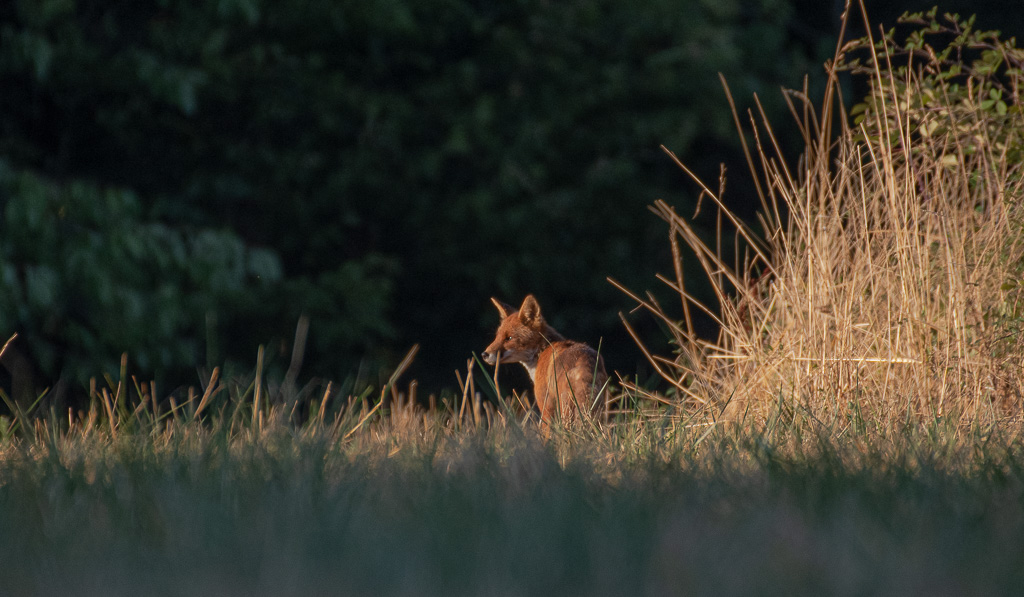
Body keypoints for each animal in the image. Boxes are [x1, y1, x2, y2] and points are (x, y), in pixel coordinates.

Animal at [482, 295, 609, 427]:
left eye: (509, 338)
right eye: (497, 337)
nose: (484, 354)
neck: (542, 351)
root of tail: (584, 363)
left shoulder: (545, 405)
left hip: (565, 412)